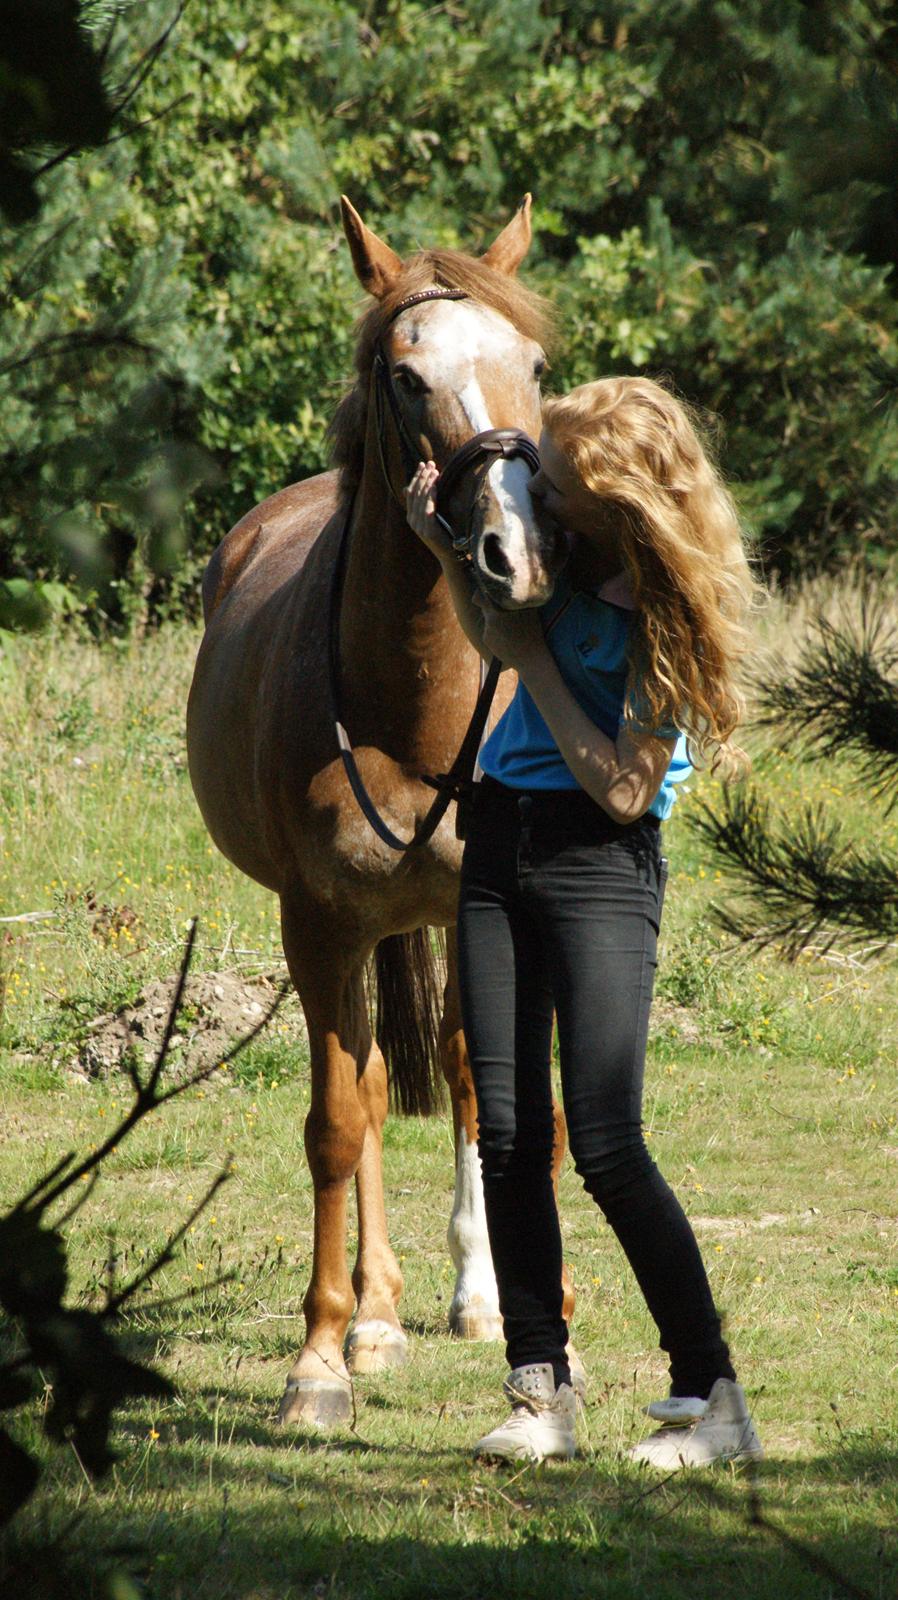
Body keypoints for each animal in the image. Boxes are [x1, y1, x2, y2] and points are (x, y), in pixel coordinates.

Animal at [186, 197, 574, 1428]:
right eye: (407, 378)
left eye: (532, 365)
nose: (517, 549)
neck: (415, 706)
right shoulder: (315, 924)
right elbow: (336, 1124)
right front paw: (319, 1360)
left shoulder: (504, 909)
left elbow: (512, 1107)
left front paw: (527, 1319)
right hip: (355, 935)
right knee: (359, 1087)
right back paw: (374, 1317)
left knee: (456, 1076)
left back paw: (466, 1296)